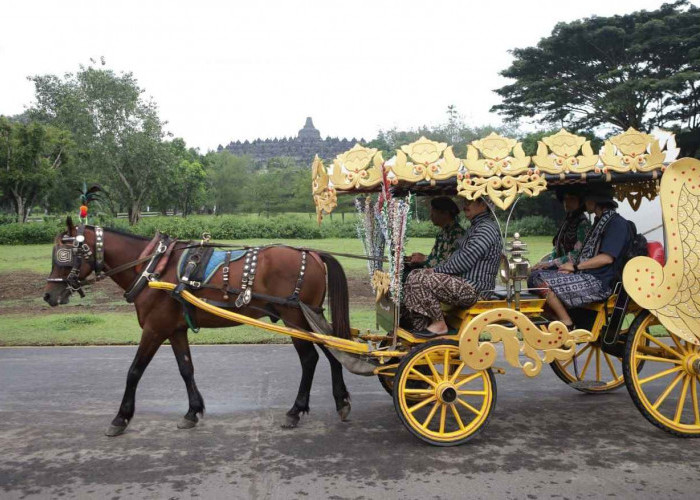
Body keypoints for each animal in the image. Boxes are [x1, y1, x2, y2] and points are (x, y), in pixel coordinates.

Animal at [42, 217, 356, 436]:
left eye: (63, 255)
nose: (48, 295)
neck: (152, 268)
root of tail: (312, 254)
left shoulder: (154, 329)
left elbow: (134, 371)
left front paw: (121, 418)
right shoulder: (174, 329)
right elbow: (186, 368)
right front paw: (192, 412)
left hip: (295, 317)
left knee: (311, 358)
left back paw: (296, 410)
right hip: (307, 317)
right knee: (333, 351)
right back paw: (340, 401)